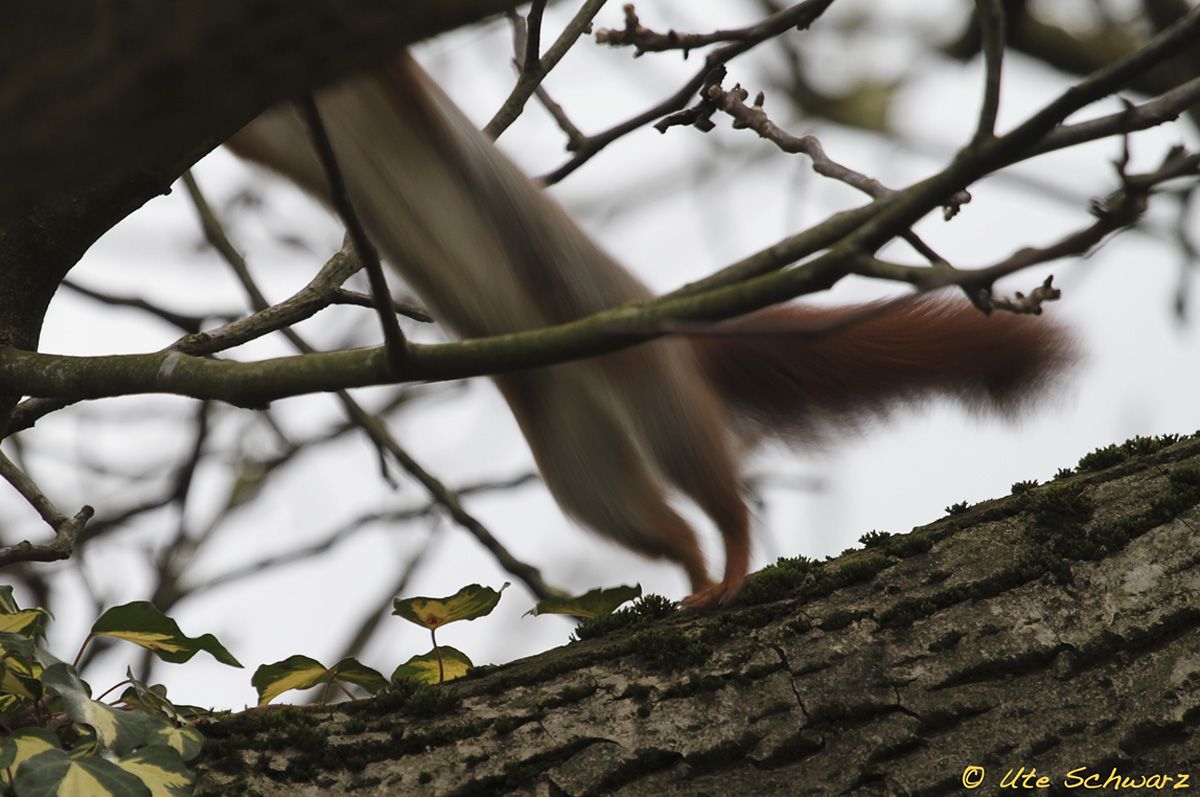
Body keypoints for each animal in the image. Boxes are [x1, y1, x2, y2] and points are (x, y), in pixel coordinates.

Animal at [229, 56, 1075, 607]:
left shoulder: (397, 95)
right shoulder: (284, 134)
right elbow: (253, 141)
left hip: (655, 394)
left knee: (717, 496)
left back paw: (727, 568)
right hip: (581, 459)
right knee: (653, 520)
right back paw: (694, 579)